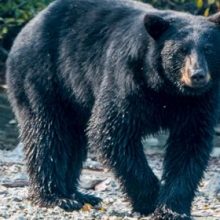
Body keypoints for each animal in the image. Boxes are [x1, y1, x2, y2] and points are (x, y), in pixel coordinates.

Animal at [6, 0, 220, 219]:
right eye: (181, 50)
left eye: (209, 49)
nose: (197, 75)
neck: (167, 89)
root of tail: (29, 25)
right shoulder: (128, 79)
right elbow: (112, 130)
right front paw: (150, 199)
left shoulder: (199, 101)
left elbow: (189, 144)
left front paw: (172, 209)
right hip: (43, 76)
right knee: (48, 134)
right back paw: (57, 197)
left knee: (73, 140)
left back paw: (79, 195)